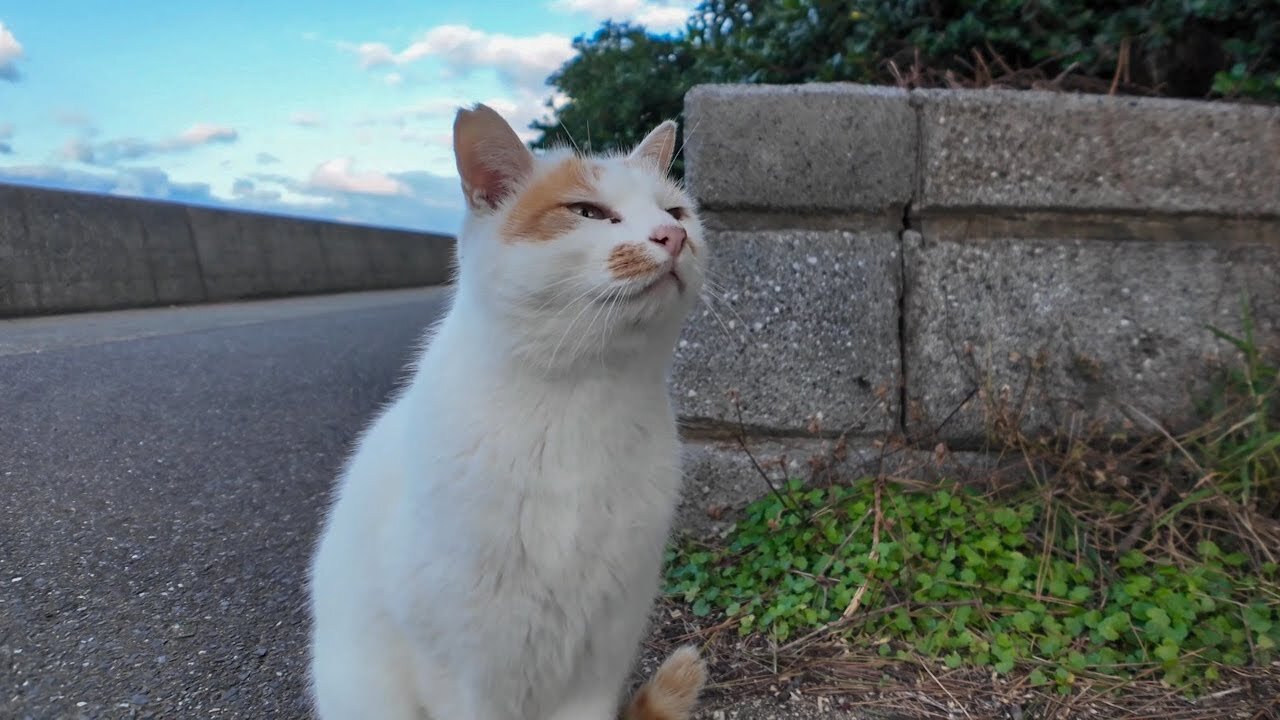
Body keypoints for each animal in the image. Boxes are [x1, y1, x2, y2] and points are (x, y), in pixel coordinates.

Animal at [305, 102, 716, 717]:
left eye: (675, 211)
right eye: (587, 212)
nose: (673, 236)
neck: (579, 400)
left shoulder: (601, 654)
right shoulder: (459, 668)